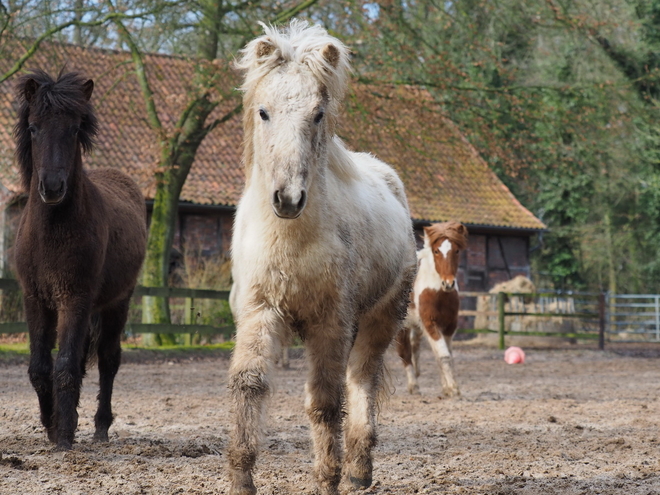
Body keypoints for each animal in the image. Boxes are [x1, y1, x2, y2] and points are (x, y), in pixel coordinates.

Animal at [12, 71, 147, 452]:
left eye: (74, 129)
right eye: (33, 128)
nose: (52, 187)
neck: (53, 233)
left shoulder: (75, 299)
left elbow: (66, 365)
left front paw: (65, 434)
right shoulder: (35, 299)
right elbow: (39, 367)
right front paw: (51, 424)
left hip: (118, 302)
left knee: (108, 359)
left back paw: (101, 426)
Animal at [394, 223, 466, 398]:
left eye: (456, 251)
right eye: (436, 251)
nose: (449, 283)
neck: (438, 292)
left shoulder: (449, 326)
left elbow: (445, 354)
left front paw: (446, 387)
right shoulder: (430, 323)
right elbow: (444, 355)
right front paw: (453, 388)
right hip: (401, 327)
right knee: (404, 353)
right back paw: (413, 386)